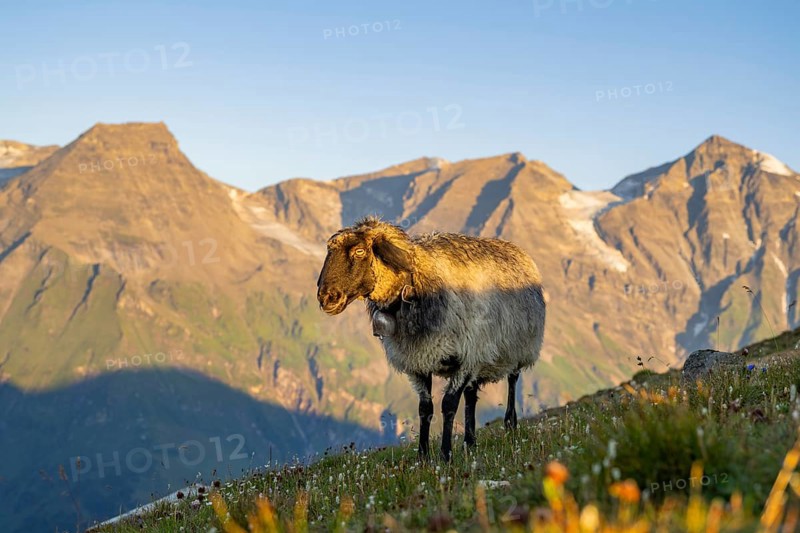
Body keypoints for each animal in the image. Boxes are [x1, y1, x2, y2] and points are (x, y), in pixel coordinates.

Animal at [316, 216, 545, 461]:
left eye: (359, 251)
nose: (326, 297)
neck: (415, 283)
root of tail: (517, 249)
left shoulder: (465, 357)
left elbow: (448, 405)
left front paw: (445, 455)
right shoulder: (420, 360)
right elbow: (425, 408)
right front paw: (423, 456)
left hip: (518, 347)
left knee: (512, 380)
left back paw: (510, 424)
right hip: (480, 357)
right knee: (471, 395)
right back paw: (470, 442)